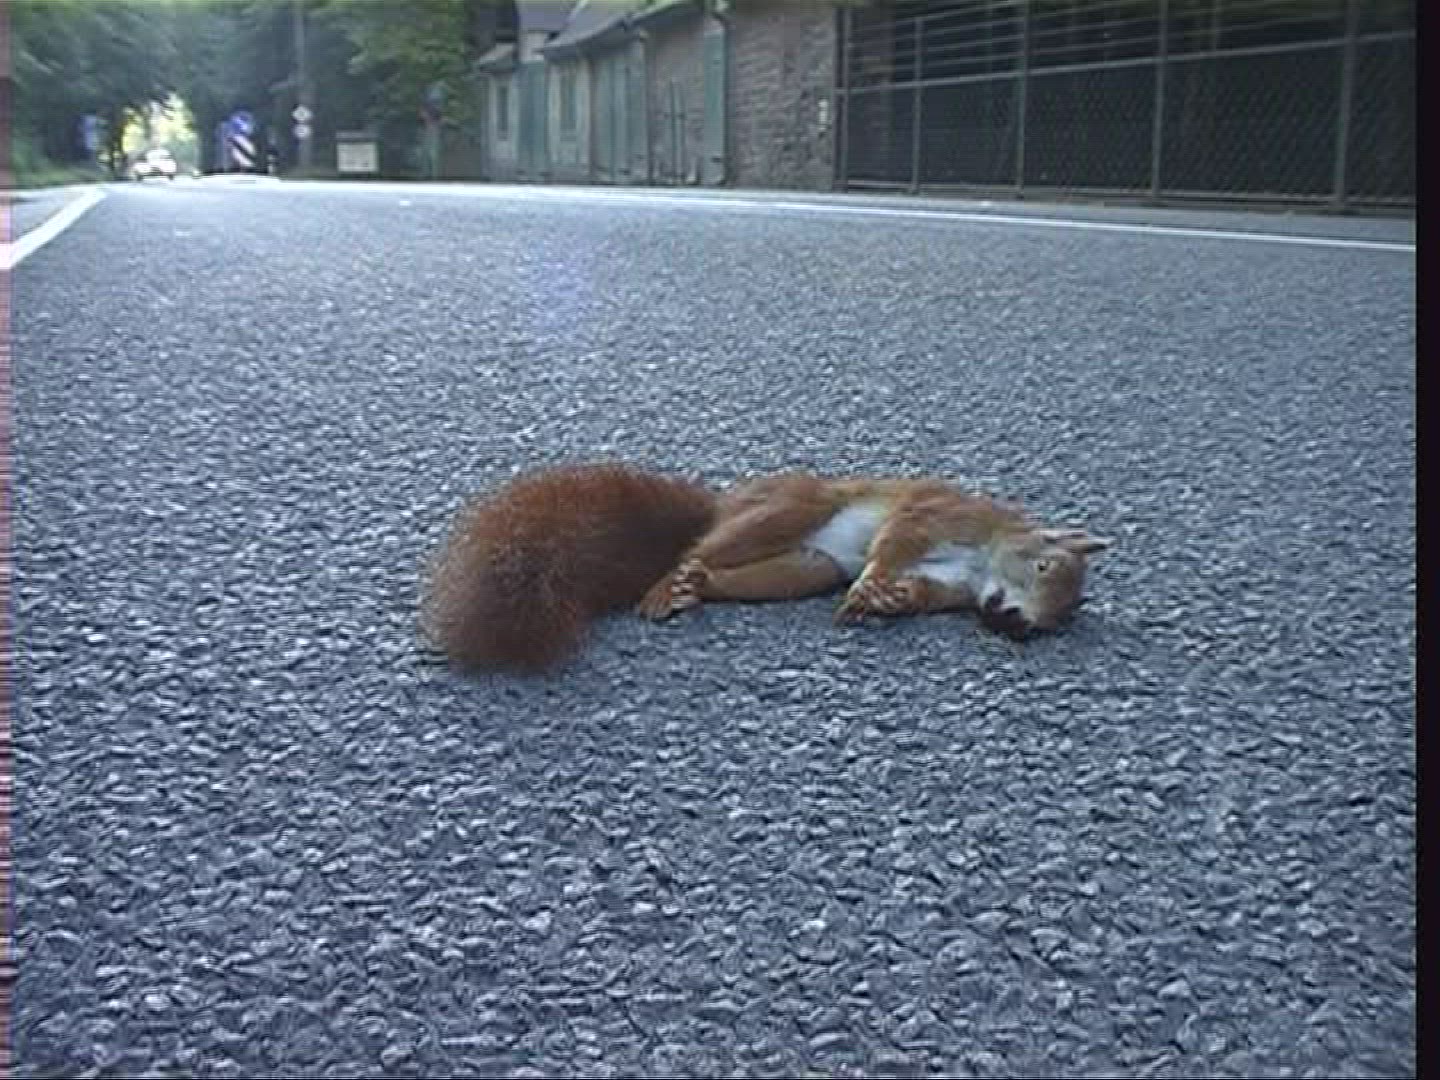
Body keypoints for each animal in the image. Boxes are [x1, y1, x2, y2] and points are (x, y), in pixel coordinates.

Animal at [422, 465, 1109, 673]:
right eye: (1044, 566)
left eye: (1060, 620)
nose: (1017, 624)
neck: (982, 559)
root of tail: (721, 505)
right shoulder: (937, 513)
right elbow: (896, 539)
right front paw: (872, 584)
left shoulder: (950, 586)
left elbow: (917, 588)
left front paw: (886, 599)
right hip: (792, 508)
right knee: (699, 548)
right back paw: (670, 581)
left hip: (805, 566)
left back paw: (696, 587)